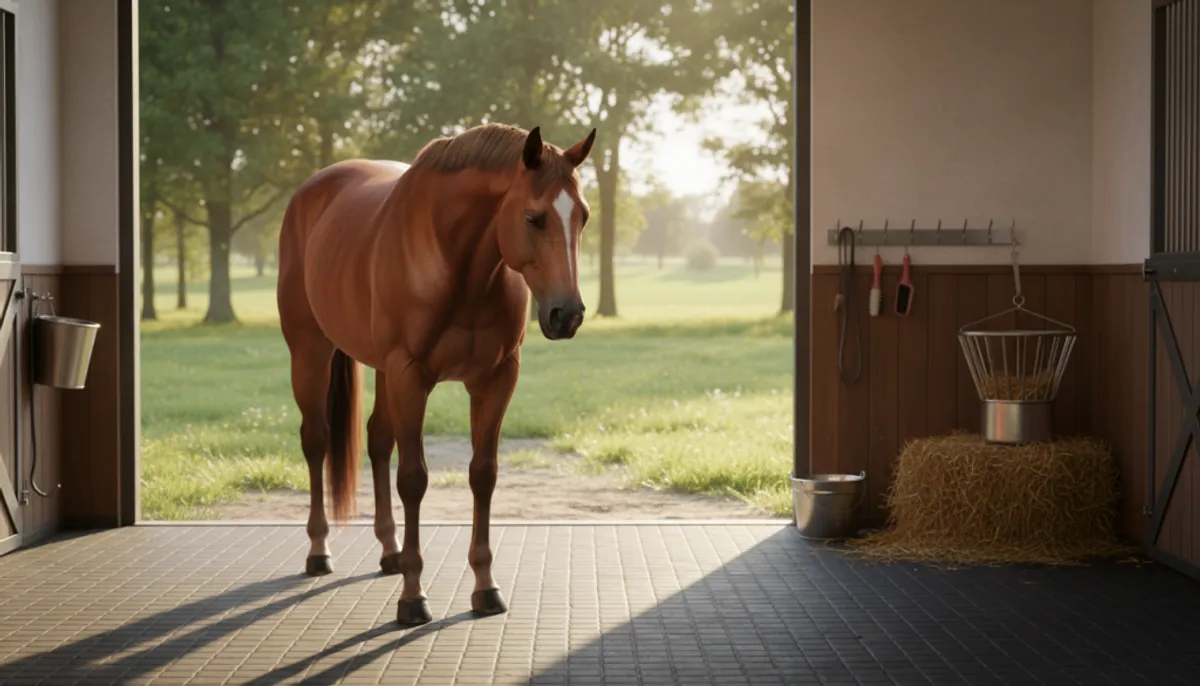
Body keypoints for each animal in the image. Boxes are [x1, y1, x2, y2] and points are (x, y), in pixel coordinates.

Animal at [276, 123, 597, 625]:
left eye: (582, 217)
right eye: (534, 217)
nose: (568, 315)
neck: (457, 262)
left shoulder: (495, 379)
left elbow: (483, 474)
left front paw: (485, 587)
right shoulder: (411, 377)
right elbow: (414, 479)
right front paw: (413, 597)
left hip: (381, 370)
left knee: (377, 439)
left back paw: (389, 551)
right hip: (310, 352)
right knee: (316, 441)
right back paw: (319, 551)